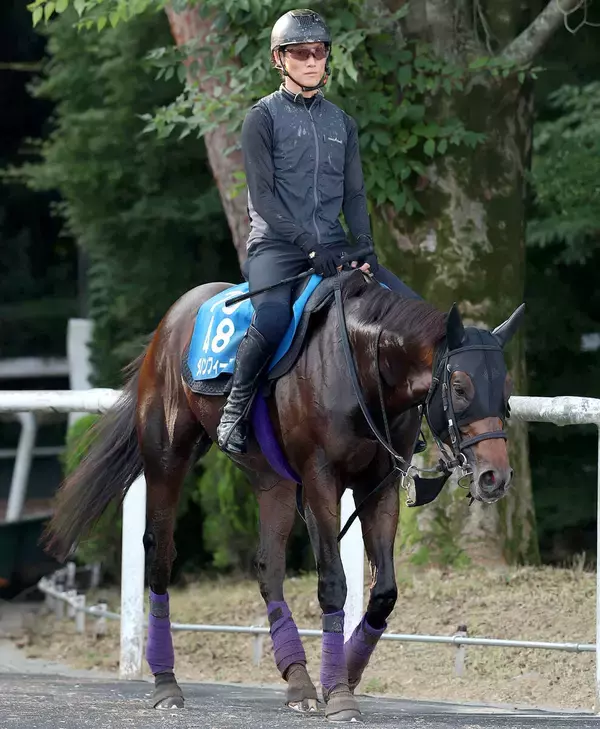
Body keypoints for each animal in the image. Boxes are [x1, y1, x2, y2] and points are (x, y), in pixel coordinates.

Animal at [43, 267, 524, 722]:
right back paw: (165, 683)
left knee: (267, 567)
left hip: (271, 480)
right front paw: (341, 693)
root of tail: (171, 319)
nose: (494, 476)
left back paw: (298, 680)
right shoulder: (320, 479)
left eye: (506, 388)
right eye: (459, 387)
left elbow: (383, 591)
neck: (363, 364)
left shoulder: (380, 484)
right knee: (160, 552)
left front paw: (345, 673)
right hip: (167, 457)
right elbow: (333, 582)